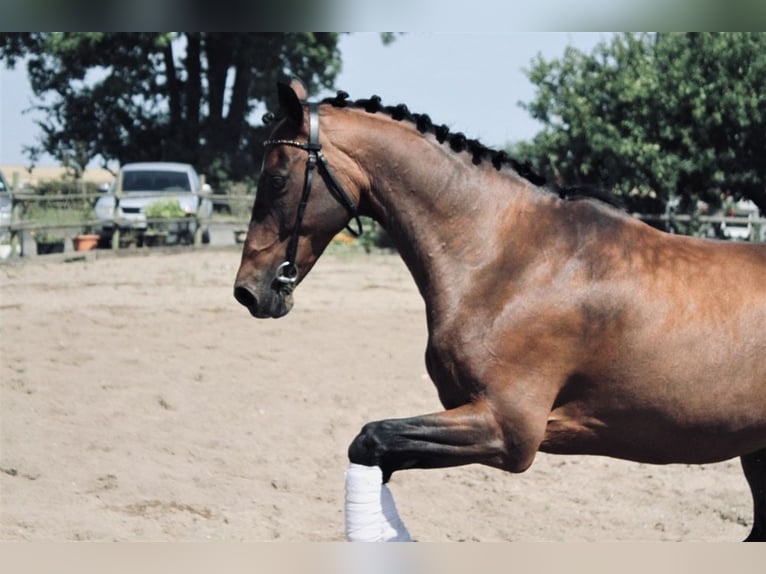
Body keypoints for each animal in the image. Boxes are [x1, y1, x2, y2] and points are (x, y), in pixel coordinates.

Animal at [236, 79, 766, 544]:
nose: (249, 291)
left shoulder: (507, 430)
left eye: (277, 179)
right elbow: (380, 452)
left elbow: (370, 440)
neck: (507, 257)